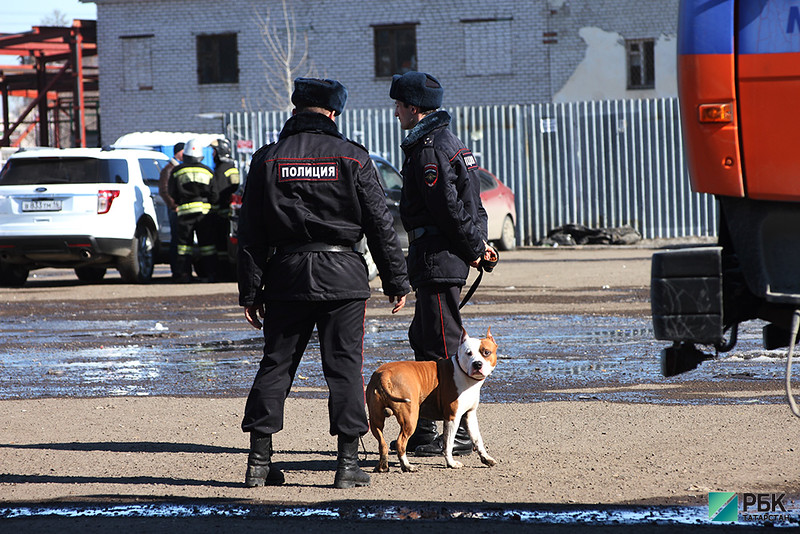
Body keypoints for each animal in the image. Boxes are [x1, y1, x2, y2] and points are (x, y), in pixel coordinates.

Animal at [366, 326, 496, 474]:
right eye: (468, 353)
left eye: (486, 352)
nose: (477, 364)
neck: (462, 372)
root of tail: (385, 373)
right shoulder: (452, 417)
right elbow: (448, 444)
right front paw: (451, 463)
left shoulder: (469, 415)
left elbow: (477, 439)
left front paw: (486, 458)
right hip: (409, 419)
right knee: (400, 443)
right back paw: (407, 466)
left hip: (376, 420)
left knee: (382, 443)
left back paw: (382, 466)